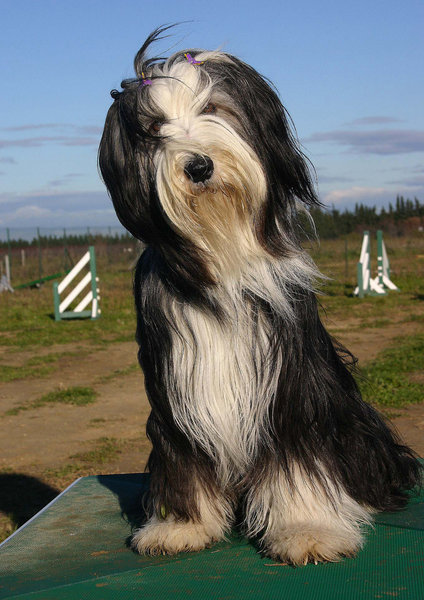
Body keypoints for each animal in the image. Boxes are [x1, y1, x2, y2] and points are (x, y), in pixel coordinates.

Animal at [99, 27, 420, 564]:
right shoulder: (174, 386)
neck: (222, 251)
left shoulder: (291, 385)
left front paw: (307, 528)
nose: (198, 166)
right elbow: (182, 454)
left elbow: (298, 456)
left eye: (214, 108)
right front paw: (181, 525)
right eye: (155, 129)